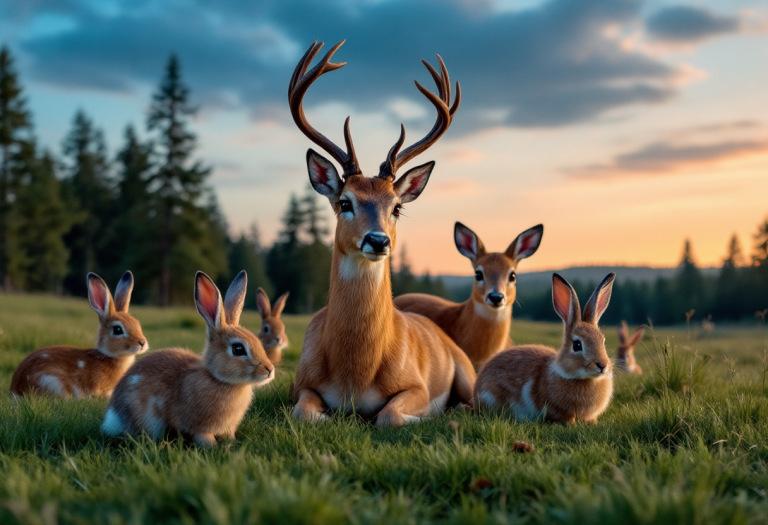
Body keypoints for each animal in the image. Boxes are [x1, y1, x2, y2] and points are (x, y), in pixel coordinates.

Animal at [103, 270, 274, 446]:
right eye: (238, 349)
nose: (269, 370)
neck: (219, 380)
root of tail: (112, 416)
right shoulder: (197, 428)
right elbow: (204, 438)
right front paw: (214, 447)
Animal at [292, 40, 476, 426]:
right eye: (344, 202)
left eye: (397, 207)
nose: (378, 240)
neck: (354, 375)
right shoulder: (300, 382)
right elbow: (303, 411)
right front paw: (329, 416)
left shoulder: (416, 385)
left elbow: (388, 415)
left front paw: (426, 416)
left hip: (467, 371)